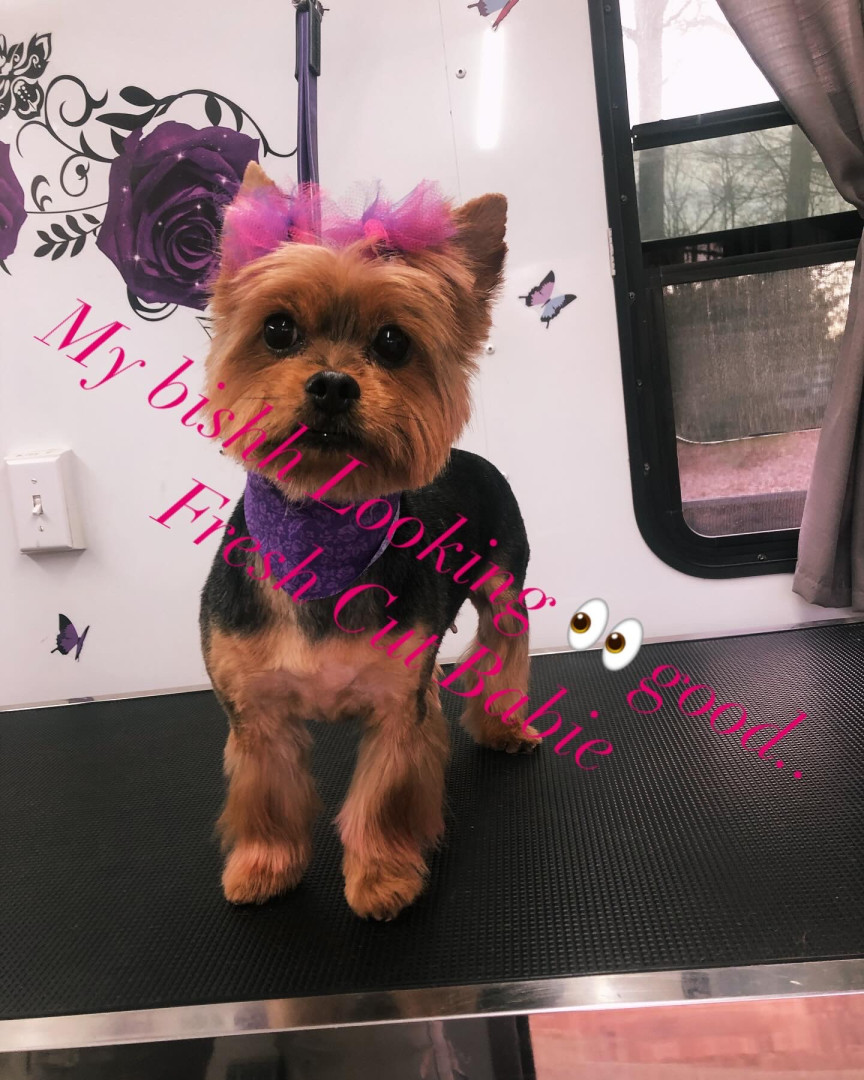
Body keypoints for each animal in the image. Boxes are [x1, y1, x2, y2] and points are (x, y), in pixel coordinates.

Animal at [199, 163, 540, 920]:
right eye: (278, 329)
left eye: (392, 342)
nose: (331, 384)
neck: (321, 533)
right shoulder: (255, 712)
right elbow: (268, 794)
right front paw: (264, 866)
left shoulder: (393, 707)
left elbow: (384, 795)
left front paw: (383, 877)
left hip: (503, 583)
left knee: (503, 649)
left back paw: (502, 726)